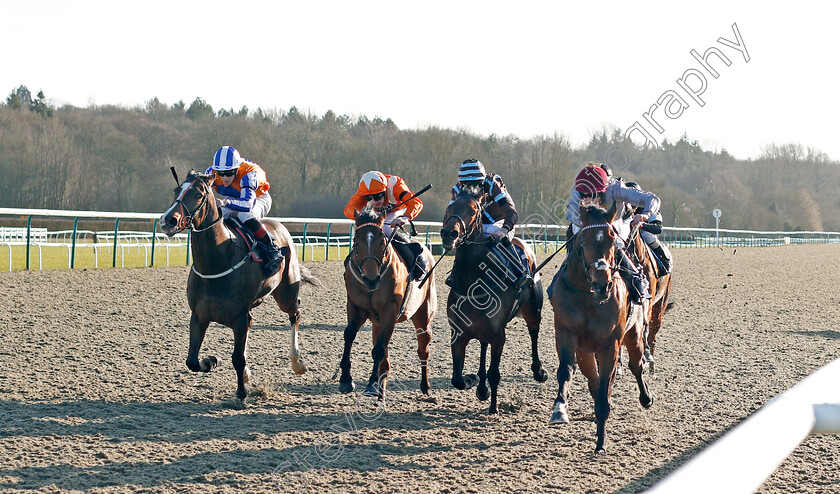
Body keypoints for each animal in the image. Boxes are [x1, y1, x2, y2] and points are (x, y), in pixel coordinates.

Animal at [159, 170, 320, 402]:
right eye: (176, 190)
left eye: (198, 194)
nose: (168, 221)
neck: (217, 261)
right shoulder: (199, 315)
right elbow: (192, 361)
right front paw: (212, 361)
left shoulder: (238, 316)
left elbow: (237, 358)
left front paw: (241, 393)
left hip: (286, 293)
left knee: (295, 315)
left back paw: (296, 362)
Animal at [338, 206, 436, 400]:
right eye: (356, 242)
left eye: (382, 242)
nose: (371, 279)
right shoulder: (355, 307)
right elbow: (349, 335)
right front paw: (346, 379)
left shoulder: (389, 311)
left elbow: (378, 350)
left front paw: (371, 382)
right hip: (378, 322)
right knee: (384, 355)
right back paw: (380, 389)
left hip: (423, 314)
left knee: (423, 349)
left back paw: (425, 385)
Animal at [436, 187, 548, 414]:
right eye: (449, 208)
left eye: (472, 211)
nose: (449, 234)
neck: (473, 283)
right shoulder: (458, 333)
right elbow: (456, 379)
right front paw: (473, 381)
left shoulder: (498, 335)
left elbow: (495, 373)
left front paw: (494, 407)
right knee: (482, 346)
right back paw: (481, 386)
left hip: (533, 311)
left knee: (534, 333)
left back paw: (538, 371)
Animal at [552, 204, 656, 452]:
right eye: (583, 241)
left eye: (612, 240)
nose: (602, 285)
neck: (587, 297)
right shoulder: (566, 333)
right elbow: (567, 370)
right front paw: (559, 409)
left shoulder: (610, 343)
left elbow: (605, 385)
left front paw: (600, 441)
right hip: (586, 350)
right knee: (593, 378)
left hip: (634, 334)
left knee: (636, 365)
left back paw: (646, 398)